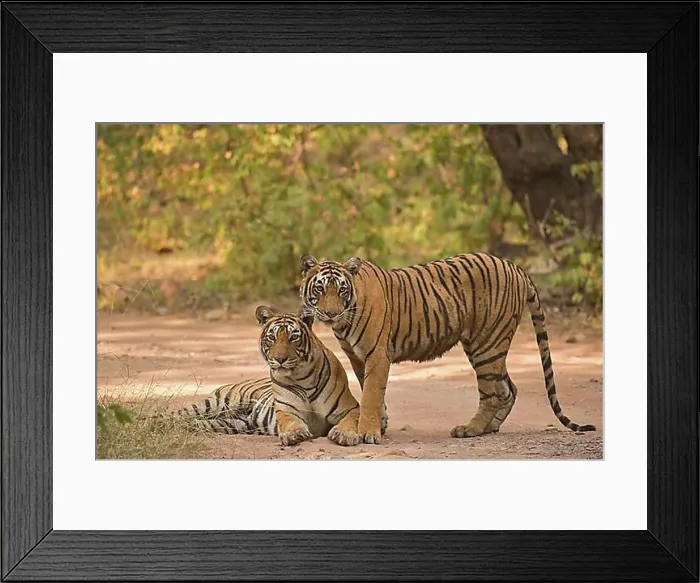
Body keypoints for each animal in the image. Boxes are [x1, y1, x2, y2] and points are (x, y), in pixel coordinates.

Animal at [156, 306, 362, 447]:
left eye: (293, 337)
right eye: (271, 338)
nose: (280, 359)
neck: (302, 378)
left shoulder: (349, 408)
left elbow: (351, 419)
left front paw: (345, 435)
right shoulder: (286, 410)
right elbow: (291, 422)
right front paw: (294, 434)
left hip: (230, 423)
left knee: (193, 423)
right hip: (214, 404)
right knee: (178, 414)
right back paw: (153, 422)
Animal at [298, 252, 597, 444]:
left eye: (341, 290)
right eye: (320, 289)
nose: (330, 314)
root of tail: (515, 266)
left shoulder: (377, 355)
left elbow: (372, 394)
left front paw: (367, 433)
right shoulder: (358, 357)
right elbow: (370, 391)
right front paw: (378, 426)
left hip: (486, 343)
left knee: (493, 393)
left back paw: (471, 429)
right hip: (488, 346)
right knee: (508, 388)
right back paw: (490, 427)